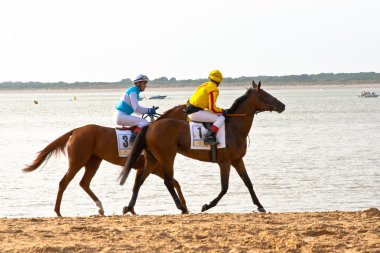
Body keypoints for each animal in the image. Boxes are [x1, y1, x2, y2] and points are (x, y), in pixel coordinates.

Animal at [21, 105, 188, 217]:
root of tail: (76, 130)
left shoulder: (149, 167)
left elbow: (167, 183)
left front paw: (131, 208)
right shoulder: (153, 167)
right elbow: (172, 182)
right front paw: (183, 206)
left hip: (93, 162)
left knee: (84, 183)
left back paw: (100, 207)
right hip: (77, 161)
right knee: (64, 182)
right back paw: (58, 211)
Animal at [119, 80, 284, 213]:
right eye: (265, 94)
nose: (282, 105)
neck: (235, 128)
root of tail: (151, 125)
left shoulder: (237, 160)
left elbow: (248, 182)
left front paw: (260, 205)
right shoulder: (225, 162)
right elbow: (225, 187)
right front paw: (207, 205)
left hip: (153, 158)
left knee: (140, 180)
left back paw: (129, 207)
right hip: (167, 157)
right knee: (168, 180)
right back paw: (181, 207)